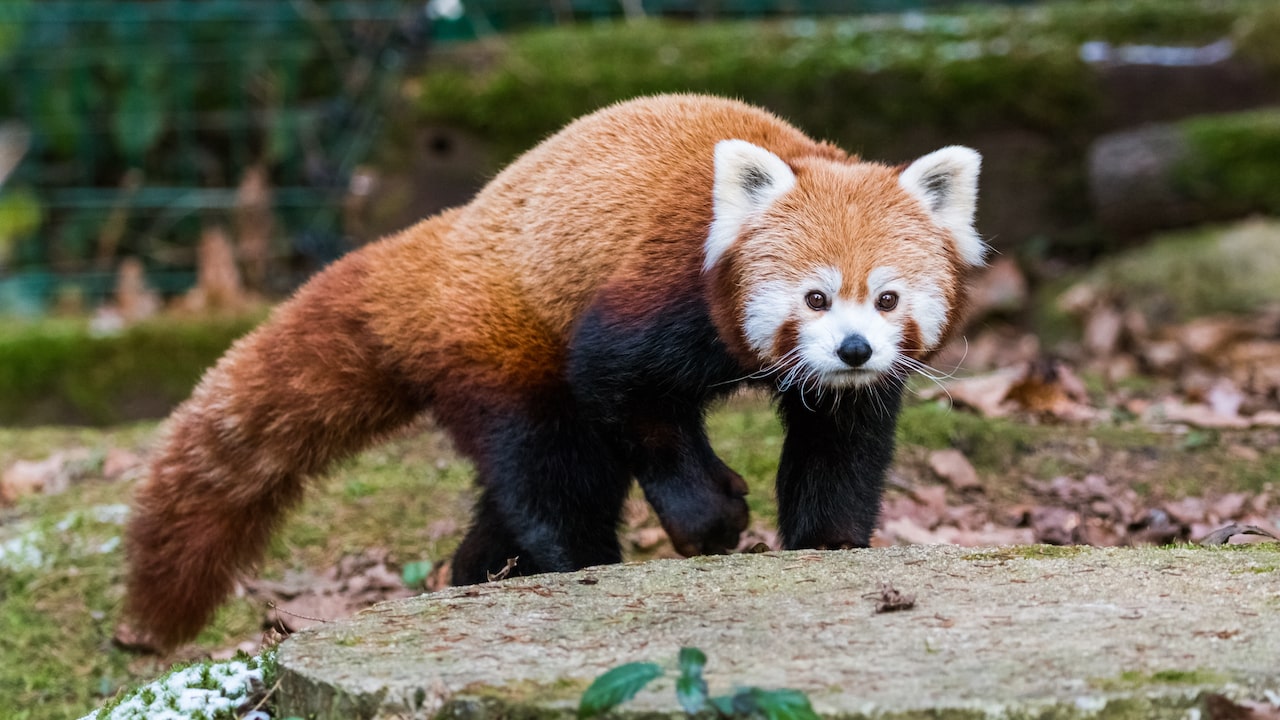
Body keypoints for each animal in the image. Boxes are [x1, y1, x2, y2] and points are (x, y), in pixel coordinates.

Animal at [124, 92, 983, 648]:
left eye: (886, 298)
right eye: (815, 296)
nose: (853, 349)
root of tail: (445, 240)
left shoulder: (847, 392)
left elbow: (840, 447)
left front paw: (829, 545)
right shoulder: (652, 299)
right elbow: (627, 395)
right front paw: (712, 515)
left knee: (522, 493)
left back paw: (483, 574)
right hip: (501, 345)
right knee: (557, 467)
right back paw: (576, 565)